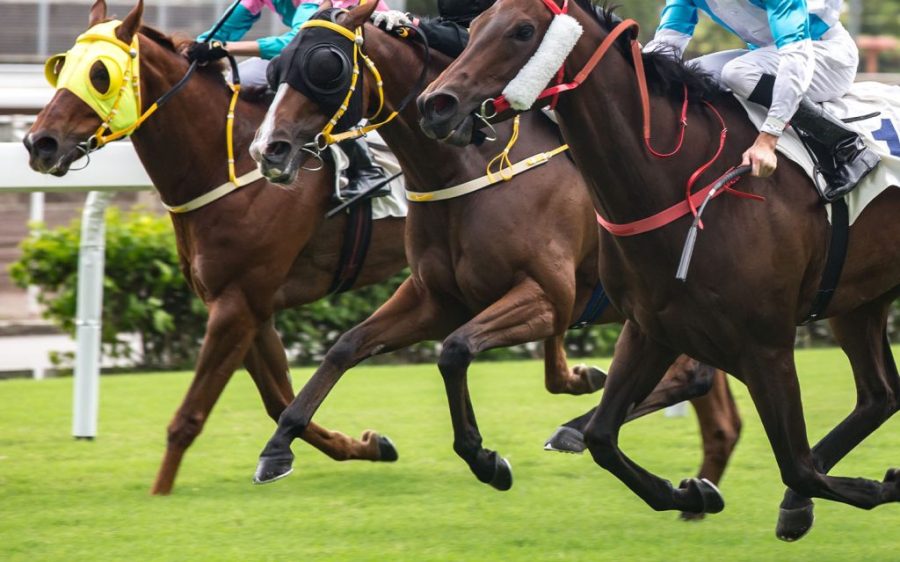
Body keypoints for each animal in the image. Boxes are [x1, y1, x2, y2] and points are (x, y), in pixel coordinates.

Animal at [24, 0, 407, 495]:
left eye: (100, 74)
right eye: (63, 66)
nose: (39, 142)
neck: (231, 162)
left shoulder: (237, 303)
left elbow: (190, 415)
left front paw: (160, 492)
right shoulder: (249, 305)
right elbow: (280, 402)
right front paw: (367, 445)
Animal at [250, 1, 741, 518]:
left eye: (327, 65)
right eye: (278, 68)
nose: (268, 149)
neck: (464, 172)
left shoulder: (546, 299)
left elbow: (455, 351)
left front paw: (485, 459)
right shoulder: (436, 299)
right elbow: (346, 345)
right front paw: (278, 446)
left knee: (691, 376)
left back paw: (582, 431)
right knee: (692, 376)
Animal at [419, 0, 900, 540]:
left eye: (522, 31)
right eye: (477, 26)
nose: (435, 104)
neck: (683, 182)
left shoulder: (767, 345)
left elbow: (798, 466)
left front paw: (880, 486)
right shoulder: (652, 327)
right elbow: (603, 438)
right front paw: (693, 492)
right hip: (859, 301)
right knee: (880, 396)